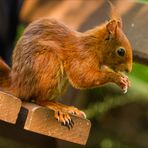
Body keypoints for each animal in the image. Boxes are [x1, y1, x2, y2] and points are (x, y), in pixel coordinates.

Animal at [0, 4, 132, 127]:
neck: (94, 46)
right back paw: (58, 108)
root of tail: (18, 84)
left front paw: (125, 80)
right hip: (48, 63)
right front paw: (117, 78)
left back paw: (68, 108)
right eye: (121, 51)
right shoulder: (81, 56)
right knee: (38, 99)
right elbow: (82, 77)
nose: (129, 69)